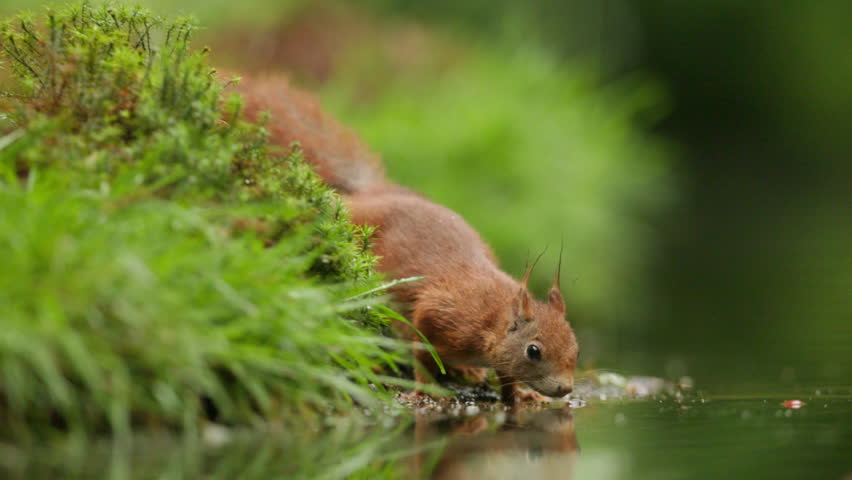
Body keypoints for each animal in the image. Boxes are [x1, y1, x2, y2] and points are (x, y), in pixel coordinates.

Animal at [235, 74, 579, 404]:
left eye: (575, 346)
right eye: (533, 351)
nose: (565, 388)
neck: (492, 317)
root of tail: (370, 193)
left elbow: (506, 377)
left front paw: (520, 394)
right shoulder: (439, 316)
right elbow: (422, 352)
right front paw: (427, 389)